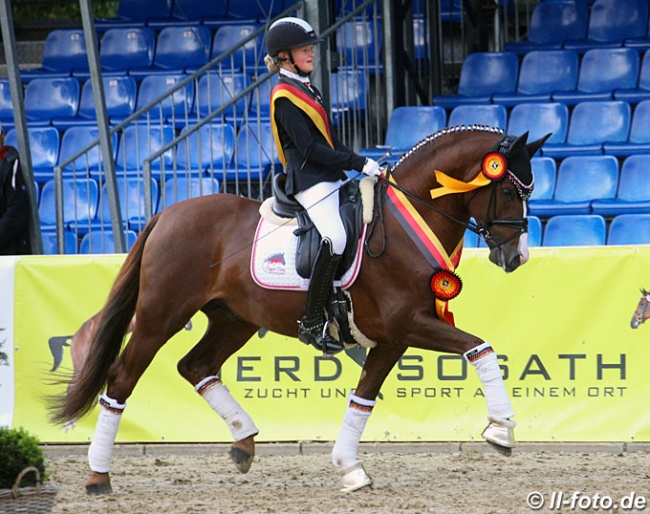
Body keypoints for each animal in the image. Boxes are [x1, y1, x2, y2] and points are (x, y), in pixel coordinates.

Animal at [49, 125, 548, 492]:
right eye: (510, 191)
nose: (517, 257)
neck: (406, 224)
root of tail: (166, 214)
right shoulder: (409, 324)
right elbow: (480, 348)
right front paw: (501, 429)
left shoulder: (392, 338)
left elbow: (363, 398)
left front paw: (349, 468)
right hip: (161, 316)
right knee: (121, 378)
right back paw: (98, 477)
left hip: (233, 320)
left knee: (196, 366)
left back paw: (244, 443)